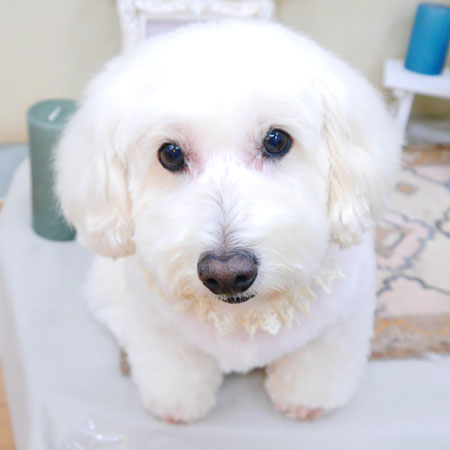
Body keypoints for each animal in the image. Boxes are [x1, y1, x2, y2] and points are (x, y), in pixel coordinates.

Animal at [55, 20, 401, 423]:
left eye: (276, 140)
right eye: (170, 154)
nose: (226, 273)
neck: (244, 317)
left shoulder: (340, 323)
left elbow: (315, 363)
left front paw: (305, 400)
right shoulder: (160, 329)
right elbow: (175, 368)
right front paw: (176, 406)